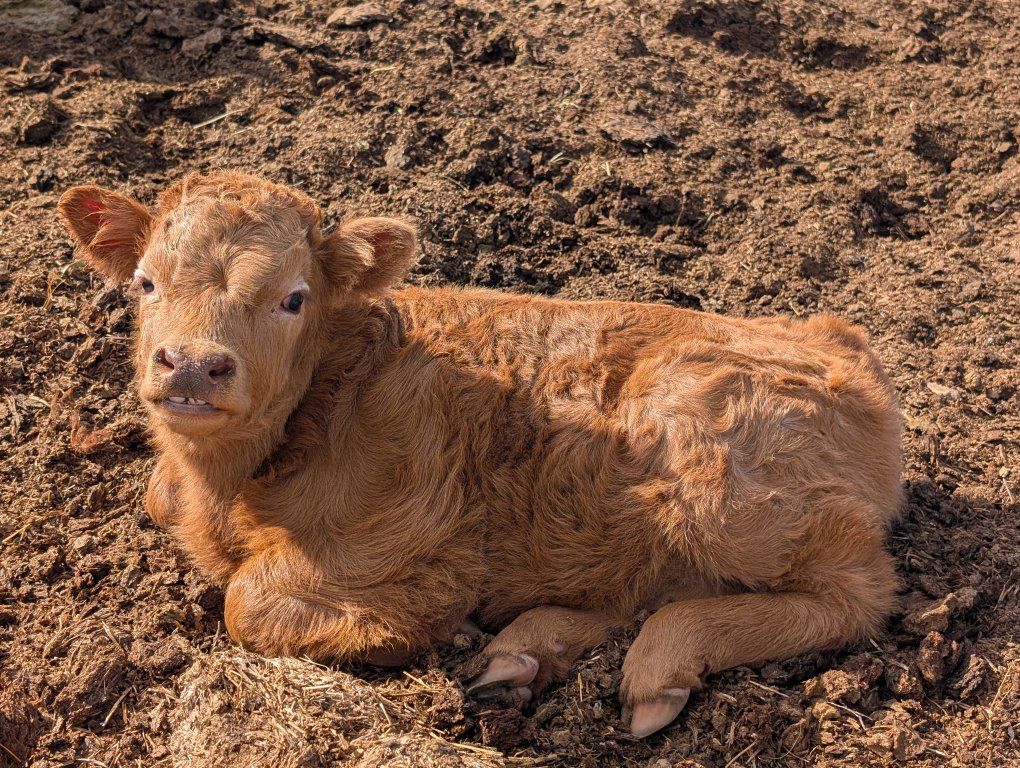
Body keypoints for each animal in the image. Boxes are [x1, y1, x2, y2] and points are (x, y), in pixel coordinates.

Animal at [57, 172, 903, 738]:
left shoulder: (415, 536)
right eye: (145, 283)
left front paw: (411, 625)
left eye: (294, 298)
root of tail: (838, 340)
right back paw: (525, 654)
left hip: (718, 475)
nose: (193, 365)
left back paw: (659, 665)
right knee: (641, 585)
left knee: (854, 597)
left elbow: (247, 600)